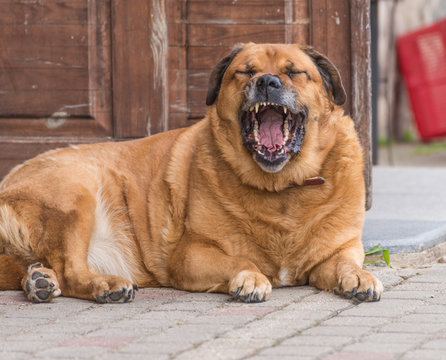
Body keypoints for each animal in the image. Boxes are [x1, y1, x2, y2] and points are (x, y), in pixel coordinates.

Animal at [0, 43, 384, 306]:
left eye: (294, 72)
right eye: (245, 72)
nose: (267, 82)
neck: (280, 187)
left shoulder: (341, 249)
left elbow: (345, 263)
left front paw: (360, 276)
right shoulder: (190, 254)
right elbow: (240, 258)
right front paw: (250, 277)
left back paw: (38, 280)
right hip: (75, 193)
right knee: (71, 270)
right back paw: (103, 285)